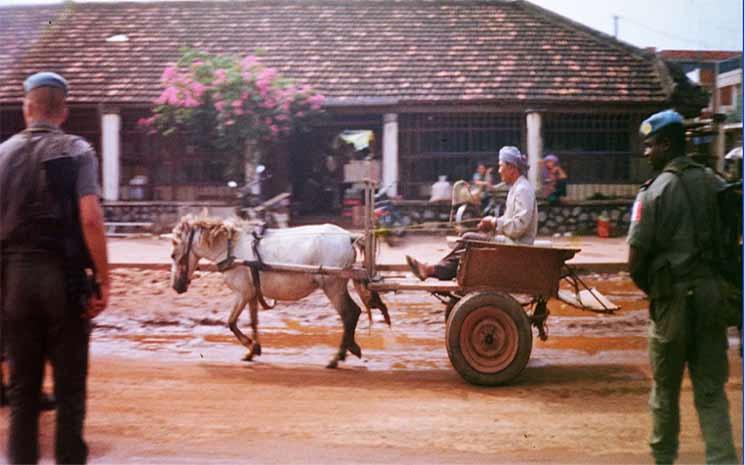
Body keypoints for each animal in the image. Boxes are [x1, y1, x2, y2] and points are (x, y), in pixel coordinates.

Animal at [170, 216, 390, 368]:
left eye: (173, 254)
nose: (176, 287)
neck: (232, 248)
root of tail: (349, 237)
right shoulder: (251, 293)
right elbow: (253, 322)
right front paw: (253, 350)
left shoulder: (241, 293)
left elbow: (231, 322)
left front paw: (251, 346)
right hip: (337, 284)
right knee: (353, 314)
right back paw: (349, 349)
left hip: (332, 285)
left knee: (349, 313)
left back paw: (337, 358)